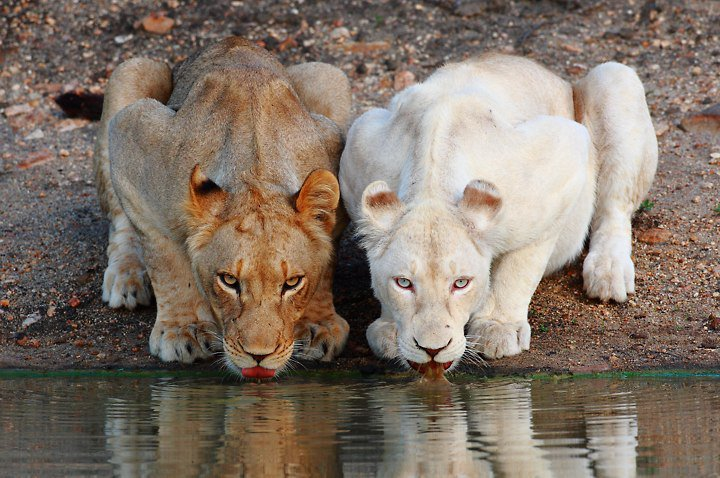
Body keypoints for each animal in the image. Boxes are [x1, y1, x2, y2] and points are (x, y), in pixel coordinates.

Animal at [342, 54, 660, 372]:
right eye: (404, 283)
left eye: (461, 283)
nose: (433, 350)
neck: (432, 181)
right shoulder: (358, 145)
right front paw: (388, 329)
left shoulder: (563, 157)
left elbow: (519, 267)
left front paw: (498, 327)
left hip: (615, 79)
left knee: (614, 207)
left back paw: (608, 273)